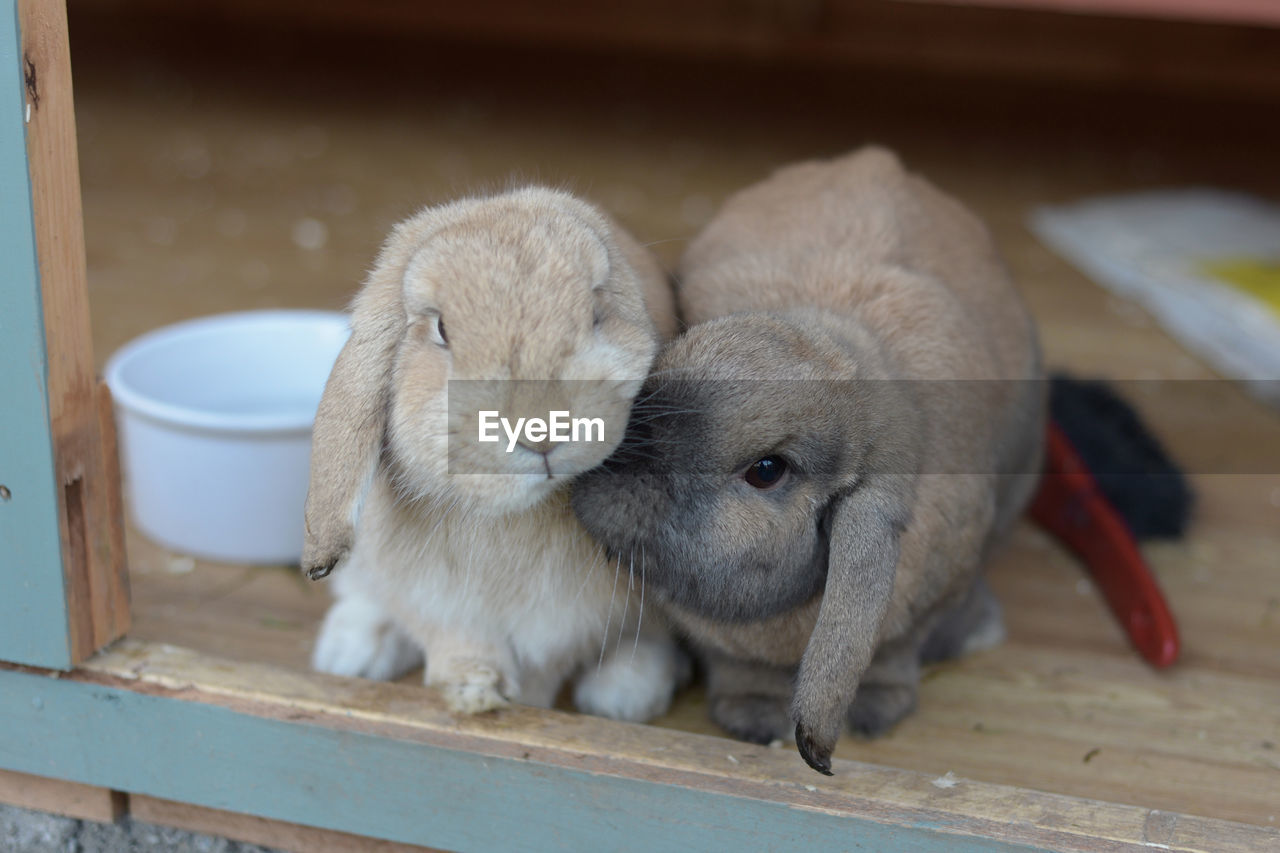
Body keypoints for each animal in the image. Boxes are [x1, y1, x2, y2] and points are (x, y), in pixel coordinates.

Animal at [302, 188, 680, 717]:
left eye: (595, 312)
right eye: (441, 329)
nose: (541, 428)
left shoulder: (571, 623)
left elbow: (549, 665)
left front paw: (528, 702)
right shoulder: (433, 602)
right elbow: (458, 644)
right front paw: (473, 692)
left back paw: (623, 694)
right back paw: (352, 652)